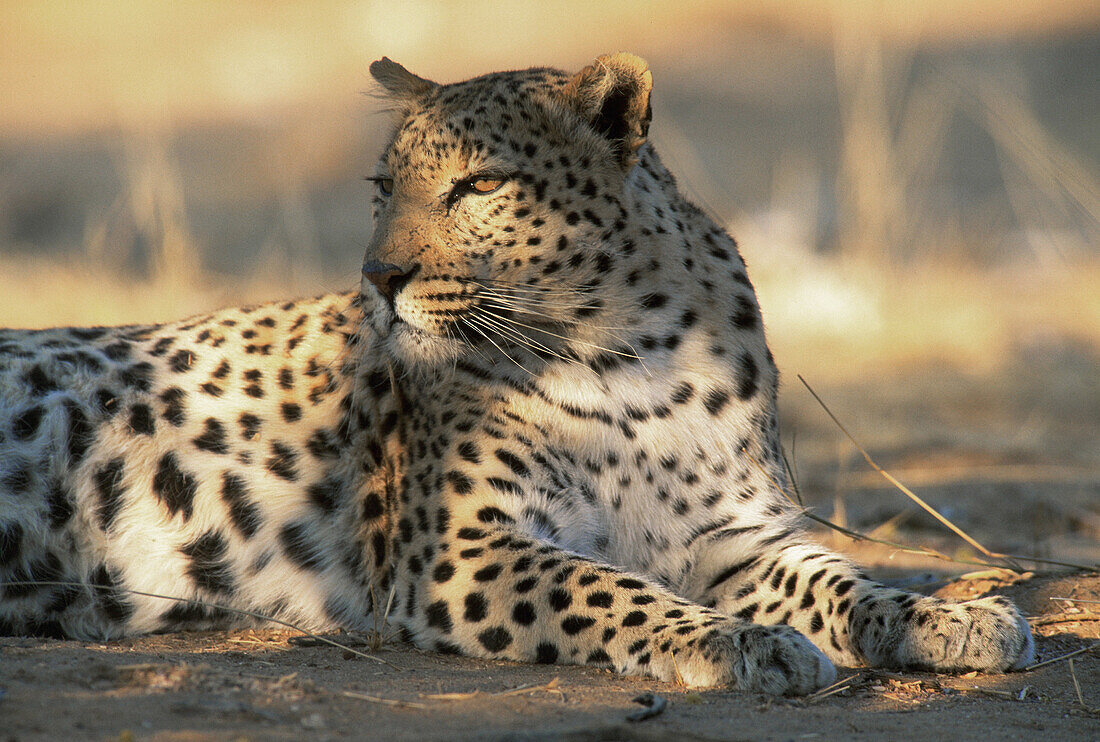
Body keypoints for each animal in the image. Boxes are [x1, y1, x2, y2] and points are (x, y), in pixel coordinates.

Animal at [0, 53, 1029, 694]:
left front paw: (951, 618)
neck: (631, 354)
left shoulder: (738, 538)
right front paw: (738, 643)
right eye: (384, 189)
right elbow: (611, 591)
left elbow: (846, 583)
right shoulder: (459, 549)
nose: (379, 277)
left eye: (481, 185)